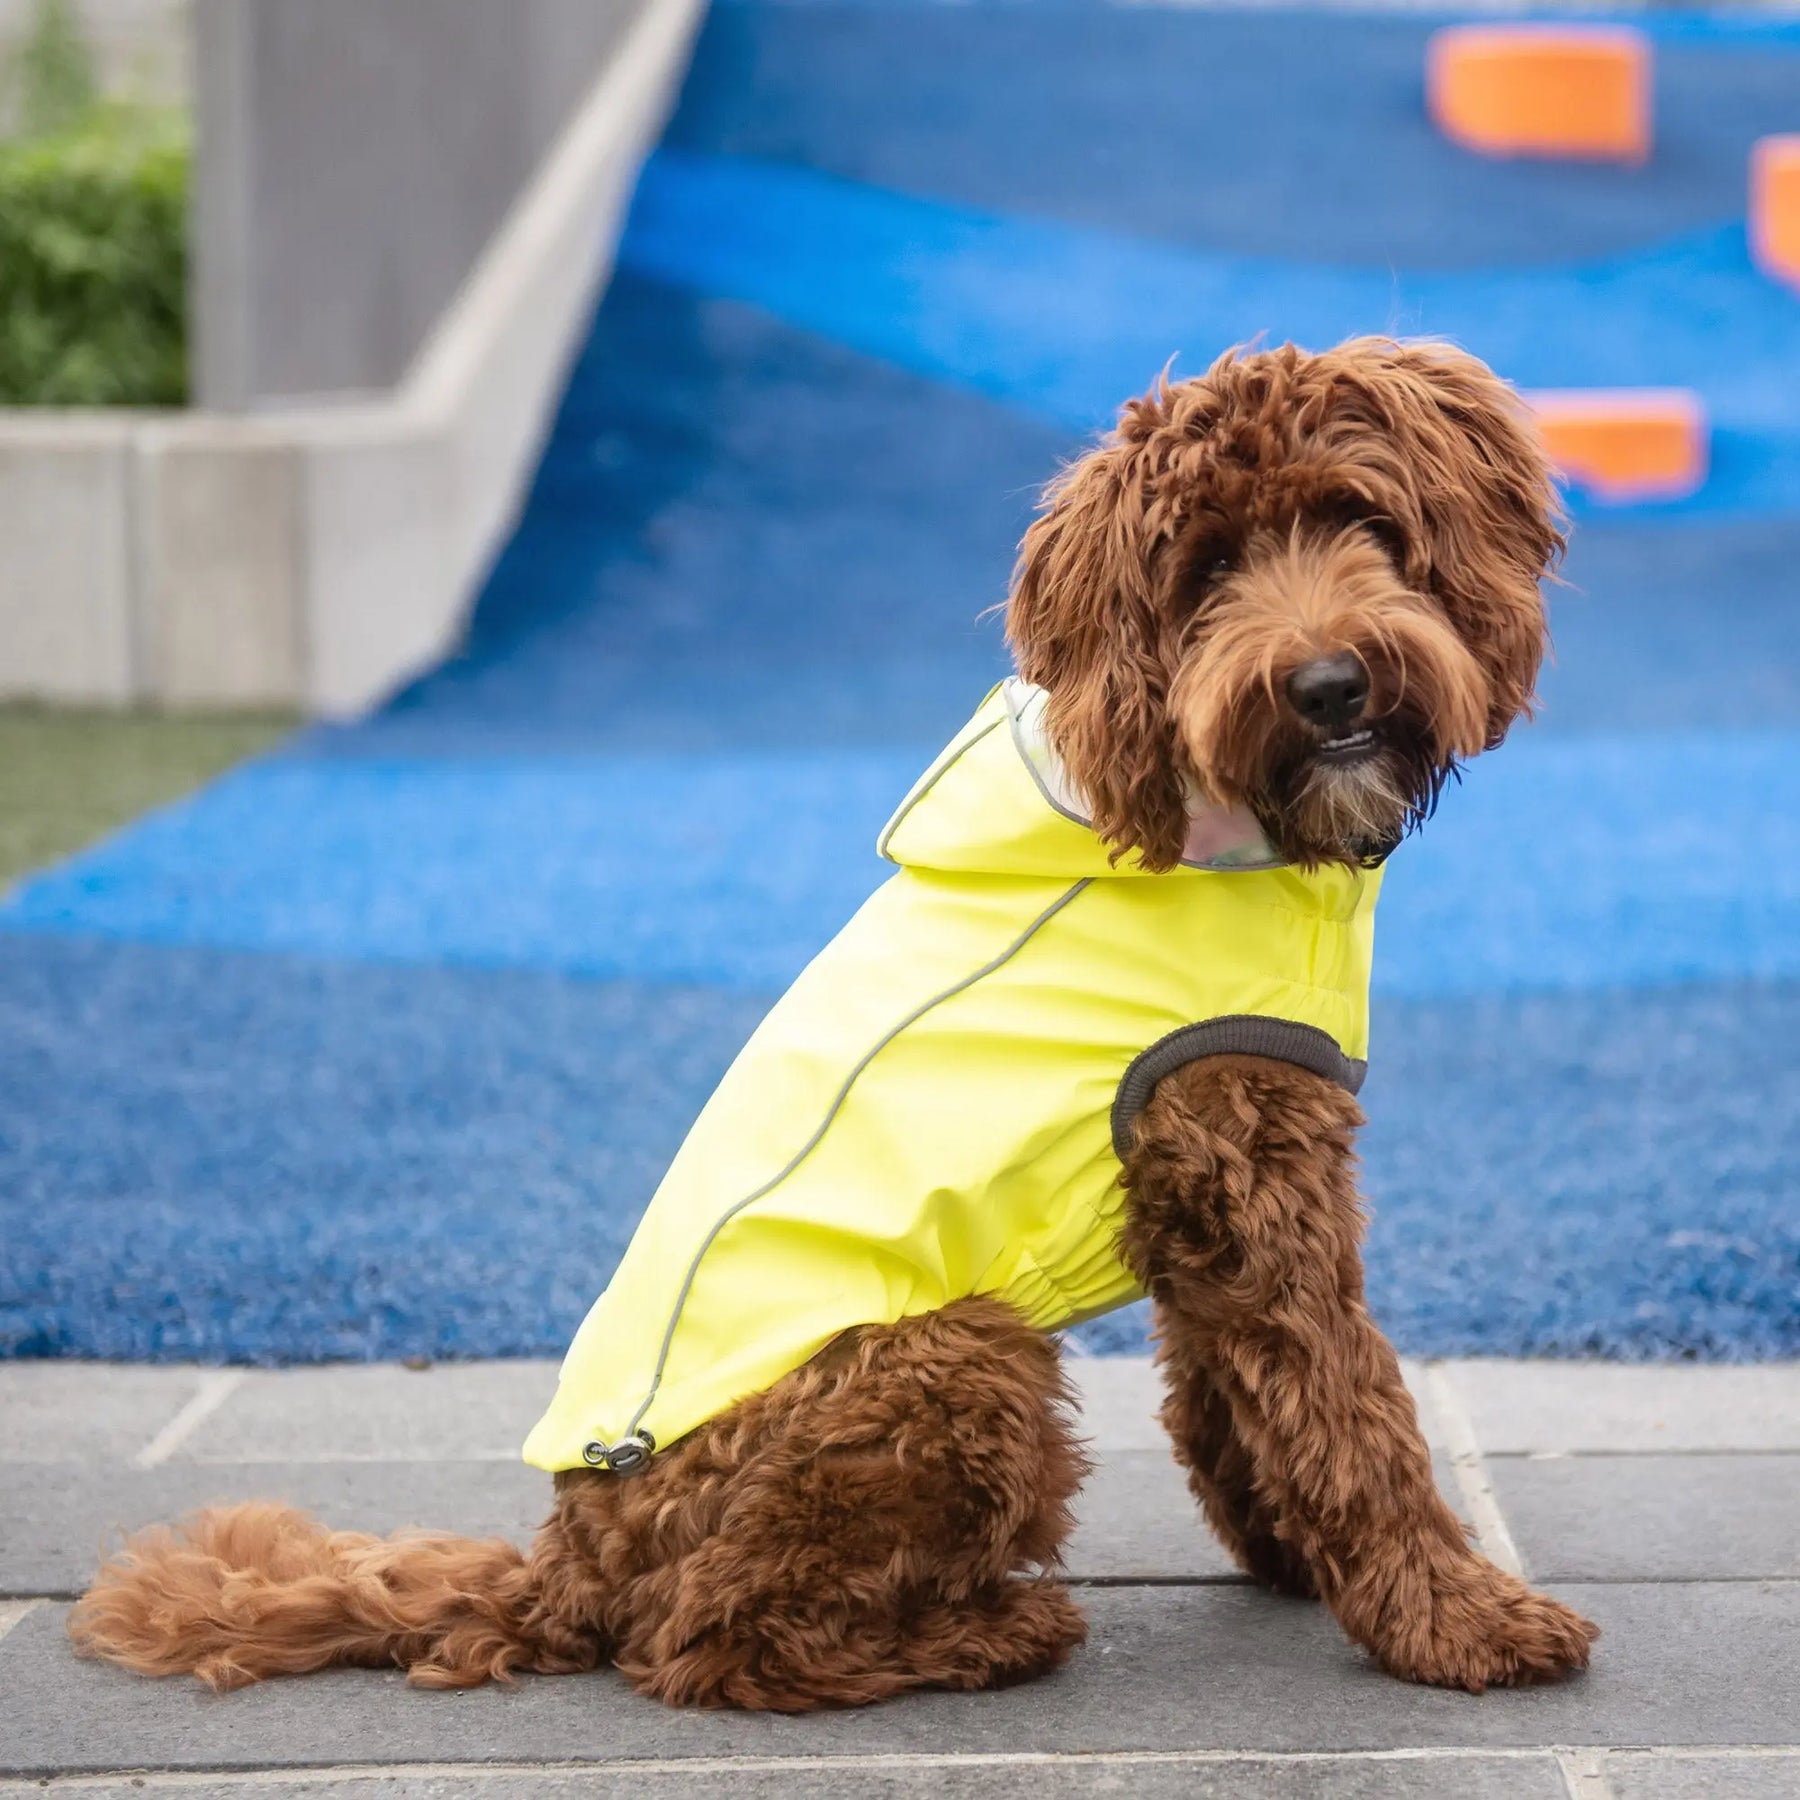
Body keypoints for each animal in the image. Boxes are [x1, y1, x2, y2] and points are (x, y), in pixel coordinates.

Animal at [66, 340, 1605, 1713]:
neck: (1203, 821)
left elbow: (1232, 1397)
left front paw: (1292, 1560)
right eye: (1206, 571)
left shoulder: (1207, 1192)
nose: (1330, 684)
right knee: (708, 1644)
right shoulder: (1255, 1175)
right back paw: (989, 1634)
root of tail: (571, 1558)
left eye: (1364, 521)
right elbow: (1353, 1413)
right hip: (952, 1359)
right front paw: (1458, 1622)